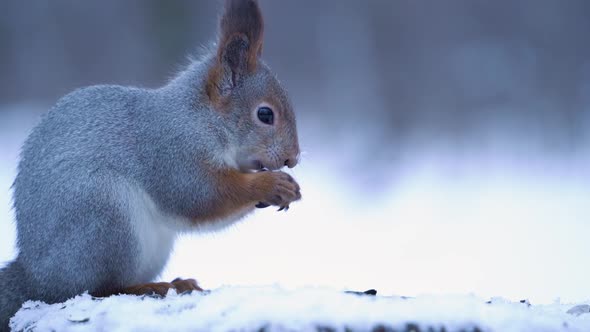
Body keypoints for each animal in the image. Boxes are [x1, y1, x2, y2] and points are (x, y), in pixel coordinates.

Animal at [0, 0, 300, 330]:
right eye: (265, 114)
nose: (293, 158)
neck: (203, 119)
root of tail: (34, 277)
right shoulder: (171, 153)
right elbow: (200, 196)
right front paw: (270, 184)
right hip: (102, 214)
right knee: (95, 288)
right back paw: (151, 287)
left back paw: (179, 283)